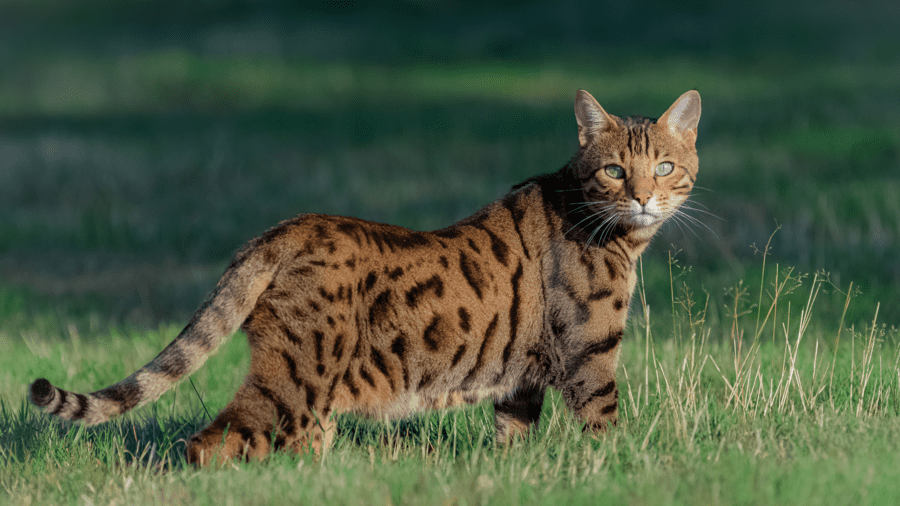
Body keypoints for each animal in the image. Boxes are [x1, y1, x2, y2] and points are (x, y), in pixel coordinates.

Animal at [29, 89, 704, 464]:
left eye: (665, 167)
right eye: (614, 171)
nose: (643, 197)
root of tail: (285, 228)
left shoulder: (521, 378)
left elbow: (511, 439)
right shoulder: (590, 354)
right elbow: (606, 429)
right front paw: (622, 470)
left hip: (313, 395)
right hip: (297, 376)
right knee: (213, 442)